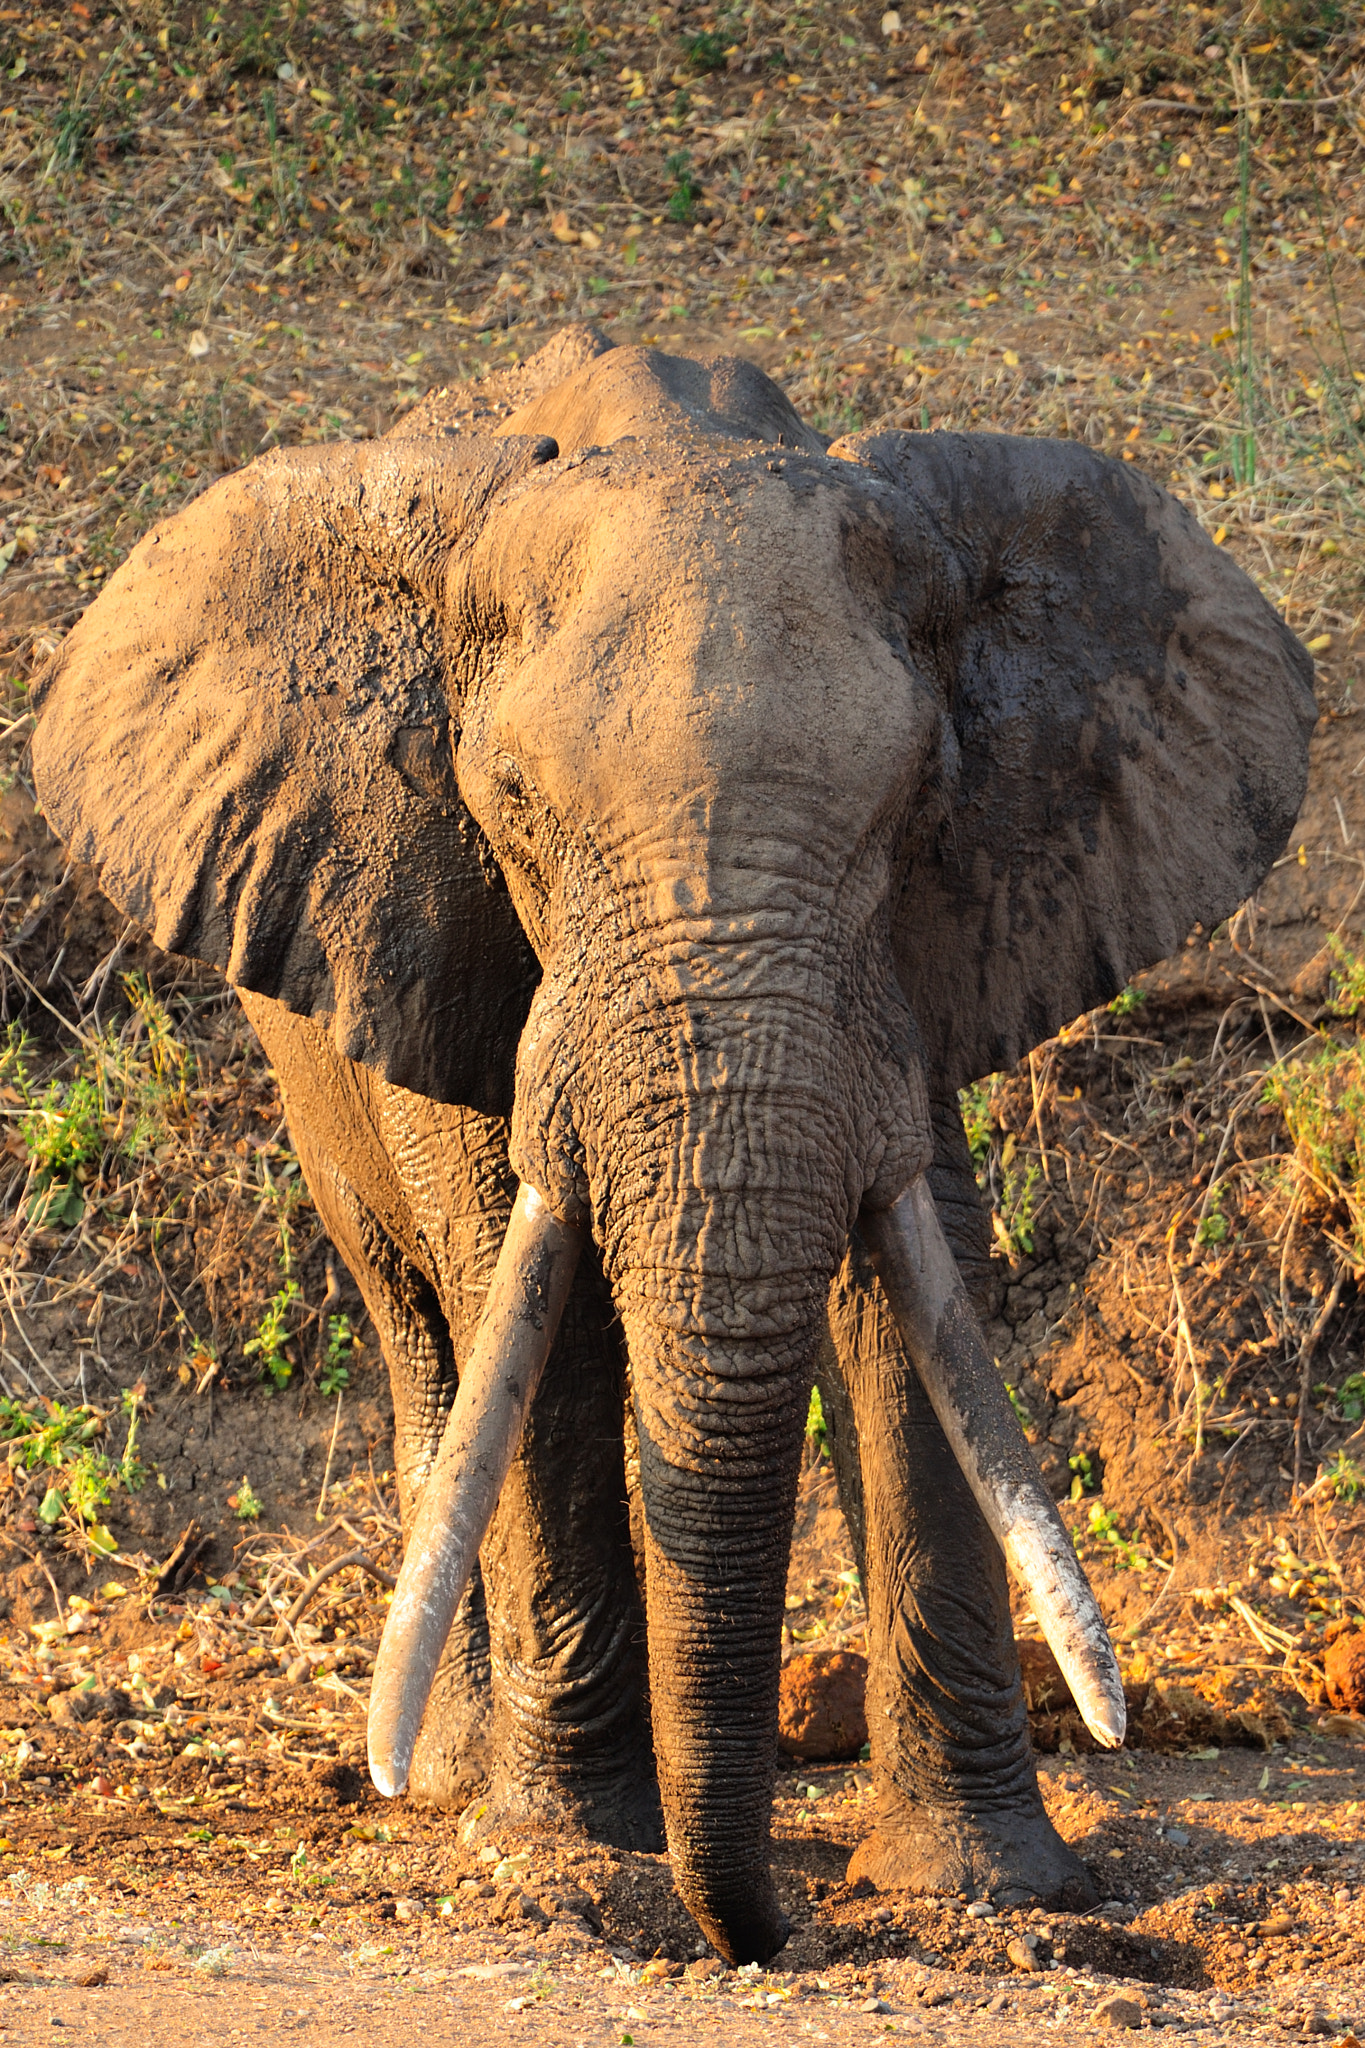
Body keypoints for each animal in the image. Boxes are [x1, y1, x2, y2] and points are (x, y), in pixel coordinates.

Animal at [31, 323, 1309, 1966]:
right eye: (510, 807)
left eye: (918, 802)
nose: (757, 1934)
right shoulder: (445, 926)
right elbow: (534, 1306)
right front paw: (577, 1873)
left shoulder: (918, 959)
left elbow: (914, 1299)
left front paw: (984, 1890)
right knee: (424, 1332)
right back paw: (448, 1778)